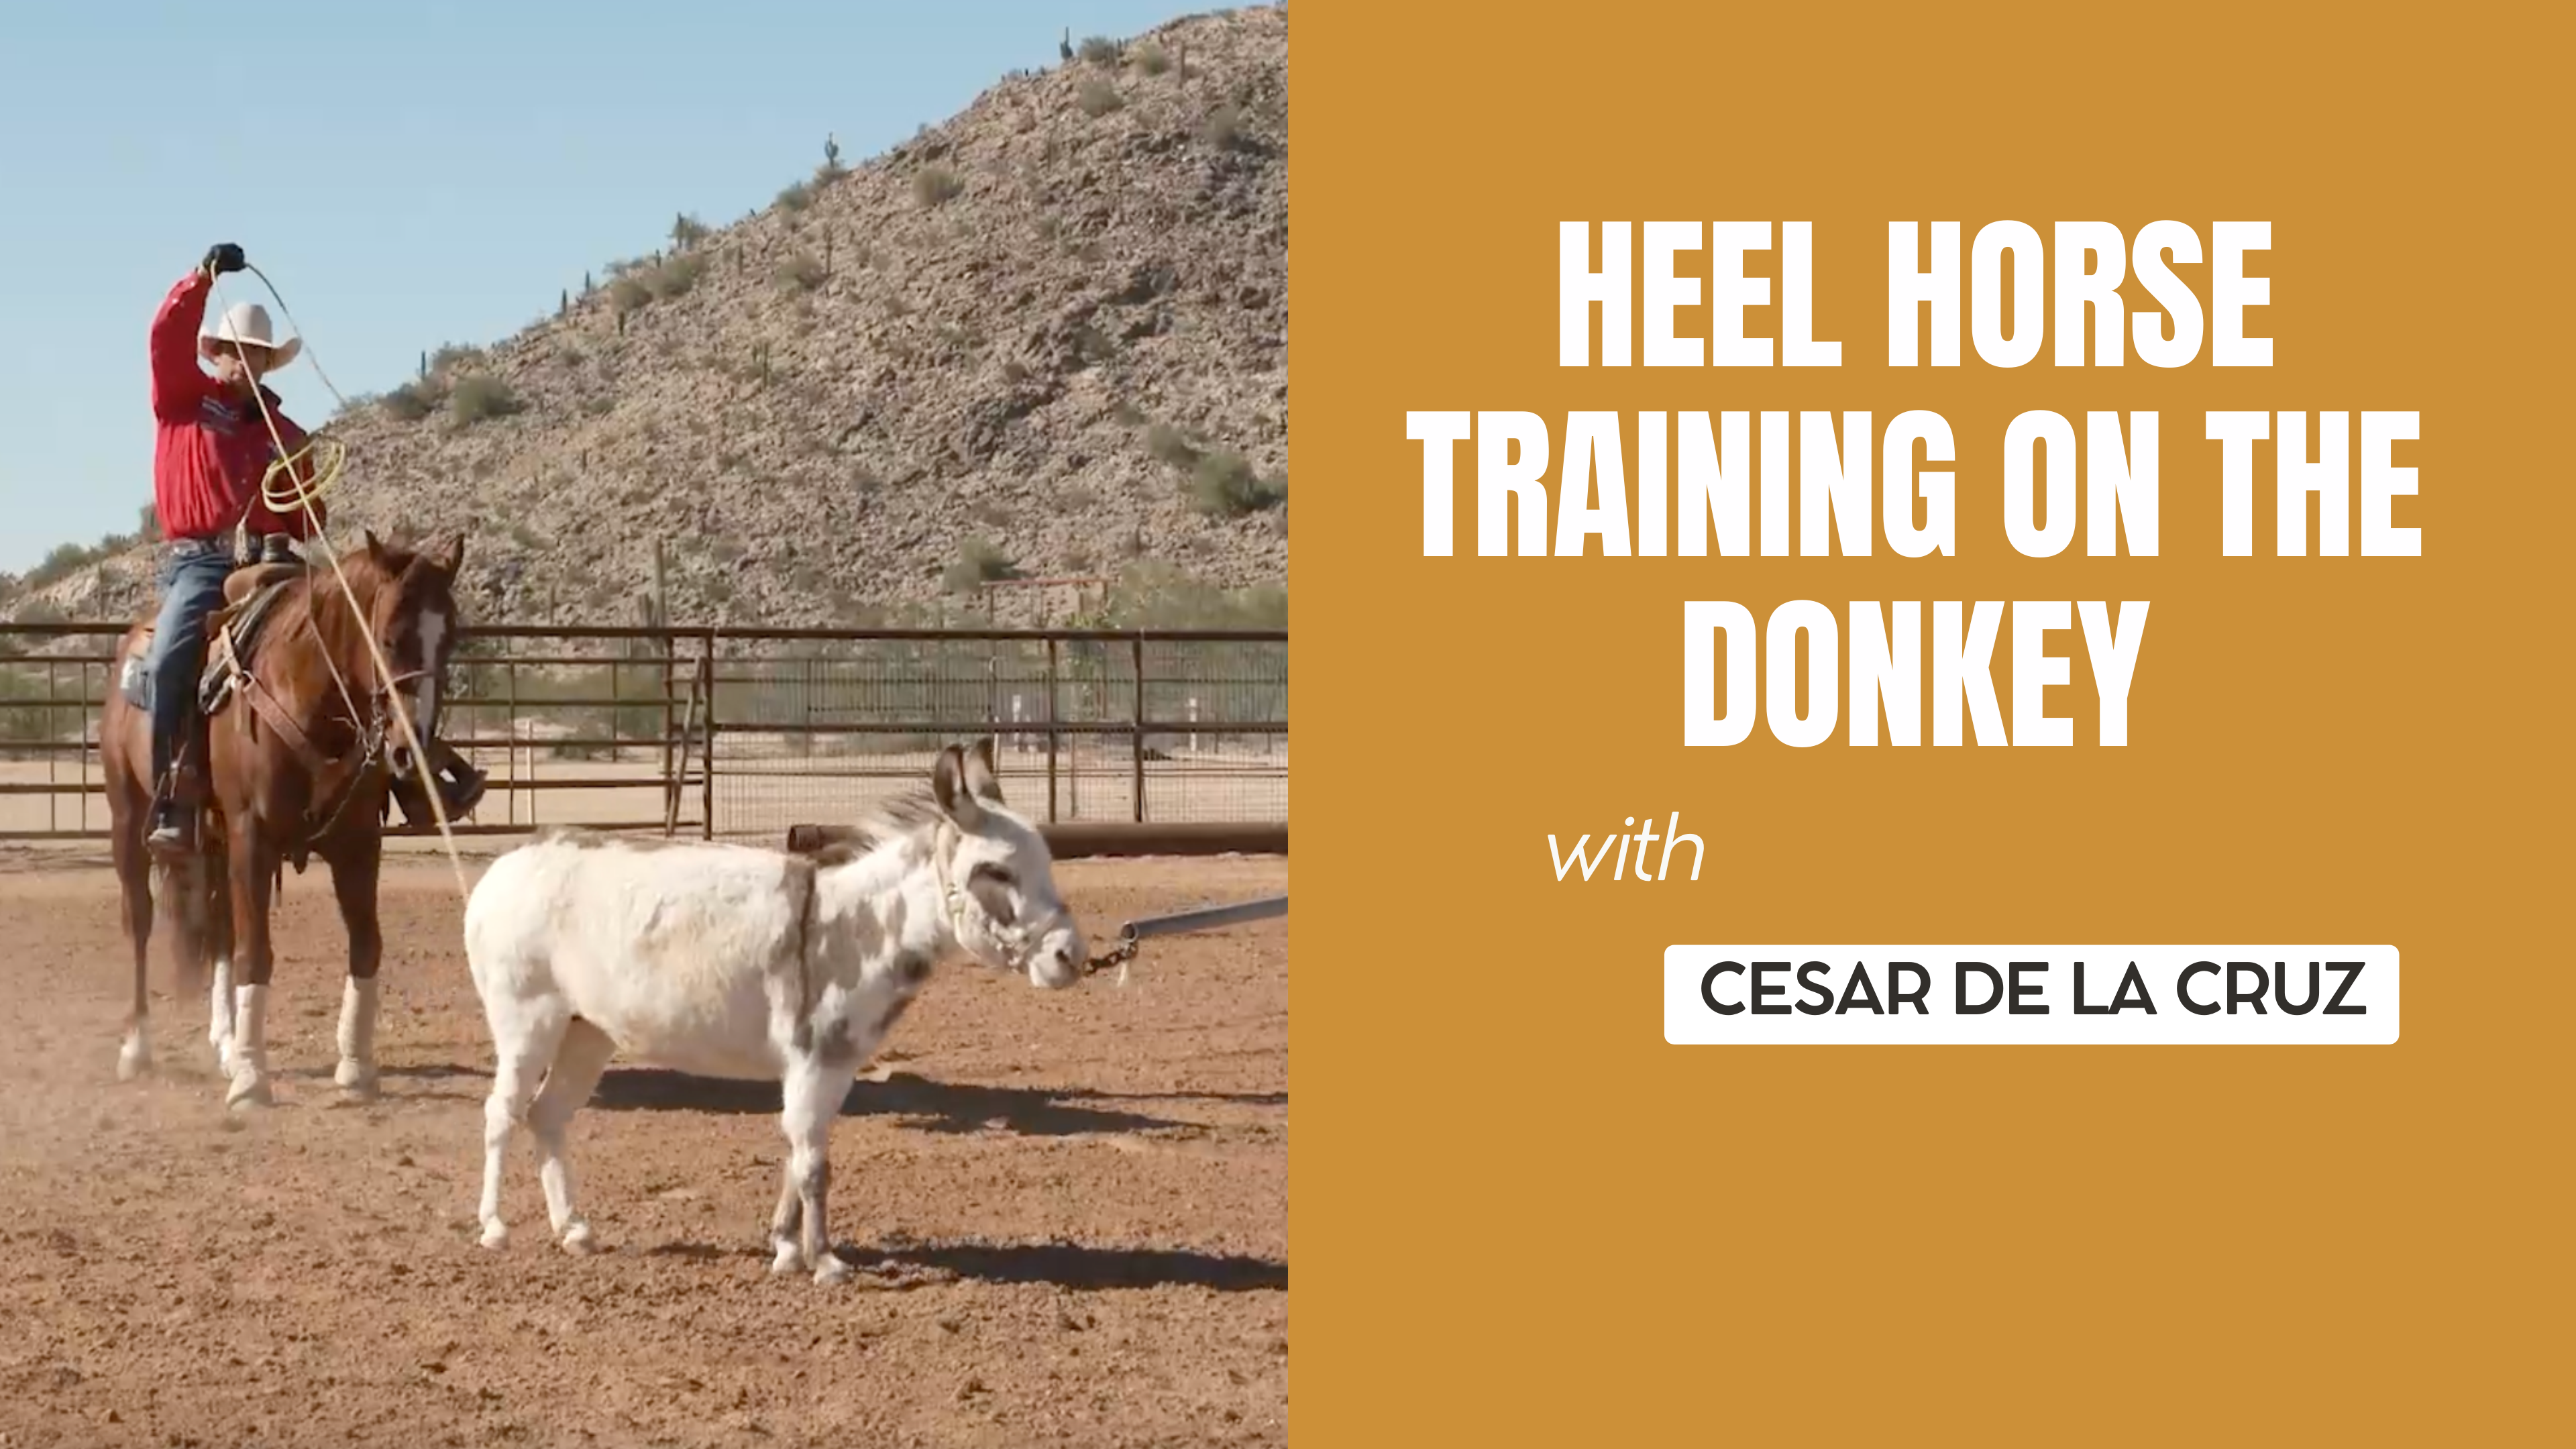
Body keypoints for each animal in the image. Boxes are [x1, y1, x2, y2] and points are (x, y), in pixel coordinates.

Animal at [99, 529, 468, 1108]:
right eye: (388, 638)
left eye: (450, 639)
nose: (411, 750)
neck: (307, 694)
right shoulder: (253, 837)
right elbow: (257, 954)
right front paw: (253, 1078)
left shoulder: (358, 842)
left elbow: (366, 945)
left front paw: (356, 1066)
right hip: (129, 817)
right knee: (138, 918)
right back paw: (138, 1048)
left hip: (215, 839)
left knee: (221, 929)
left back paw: (226, 1043)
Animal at [462, 737, 1087, 1284]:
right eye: (997, 872)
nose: (1071, 957)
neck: (855, 929)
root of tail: (509, 862)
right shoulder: (813, 1059)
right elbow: (813, 1164)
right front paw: (826, 1262)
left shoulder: (831, 1067)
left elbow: (800, 1149)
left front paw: (787, 1248)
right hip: (527, 1021)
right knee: (501, 1112)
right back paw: (494, 1227)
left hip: (587, 1030)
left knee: (547, 1115)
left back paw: (573, 1230)